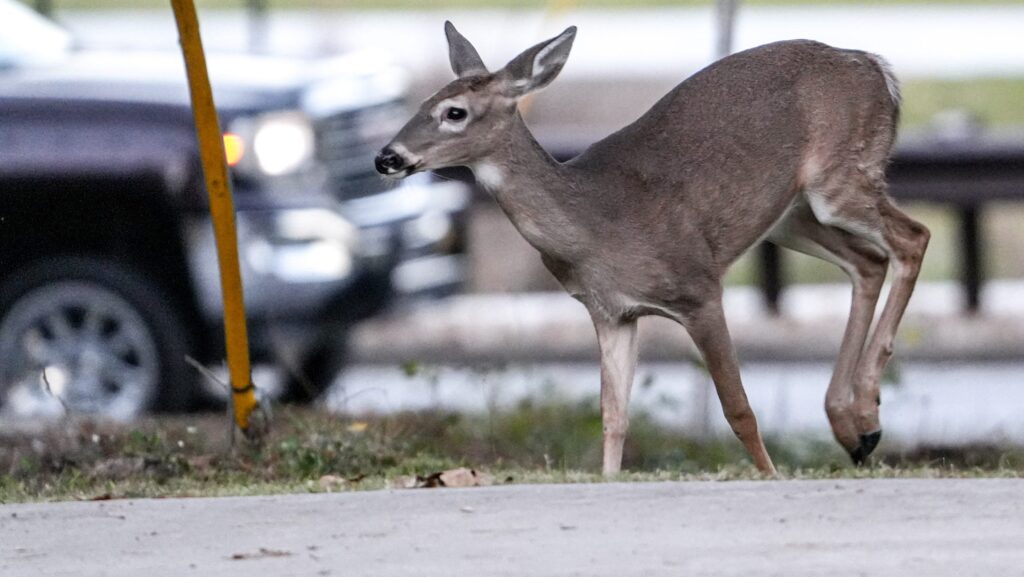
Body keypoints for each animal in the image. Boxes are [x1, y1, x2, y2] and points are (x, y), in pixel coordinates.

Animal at [375, 22, 930, 476]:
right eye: (420, 103)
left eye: (454, 112)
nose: (387, 157)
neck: (596, 225)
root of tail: (876, 67)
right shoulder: (610, 312)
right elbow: (614, 415)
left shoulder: (698, 287)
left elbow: (738, 409)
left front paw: (770, 475)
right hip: (790, 218)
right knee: (868, 261)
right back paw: (855, 427)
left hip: (840, 178)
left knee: (912, 237)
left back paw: (863, 410)